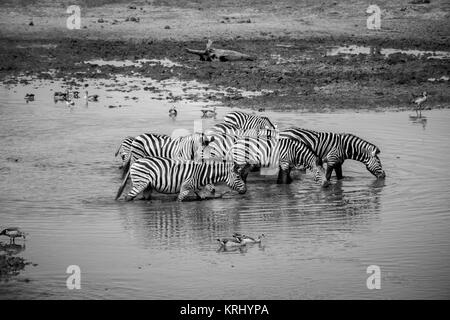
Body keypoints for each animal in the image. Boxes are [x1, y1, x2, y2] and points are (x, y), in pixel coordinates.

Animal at [115, 157, 246, 201]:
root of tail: (135, 162)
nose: (245, 191)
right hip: (140, 183)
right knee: (128, 197)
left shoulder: (198, 190)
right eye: (238, 177)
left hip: (148, 186)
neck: (204, 173)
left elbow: (203, 199)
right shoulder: (185, 187)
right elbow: (179, 201)